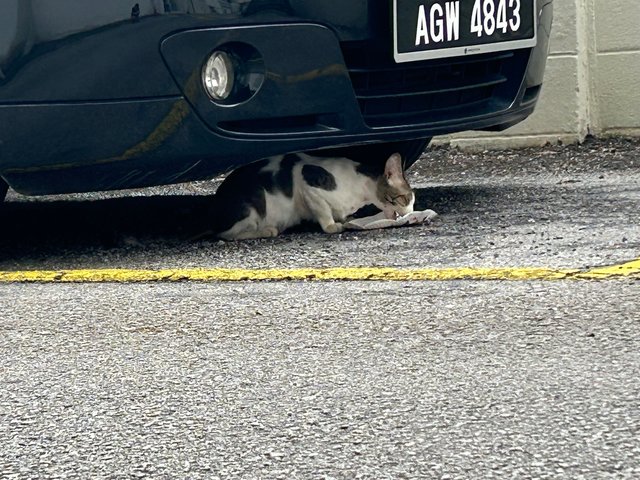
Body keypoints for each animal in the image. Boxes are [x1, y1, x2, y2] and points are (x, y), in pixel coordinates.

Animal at [210, 150, 416, 240]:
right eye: (405, 199)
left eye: (413, 202)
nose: (410, 214)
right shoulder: (308, 185)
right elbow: (324, 213)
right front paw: (333, 226)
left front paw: (346, 219)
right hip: (254, 202)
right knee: (228, 234)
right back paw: (267, 230)